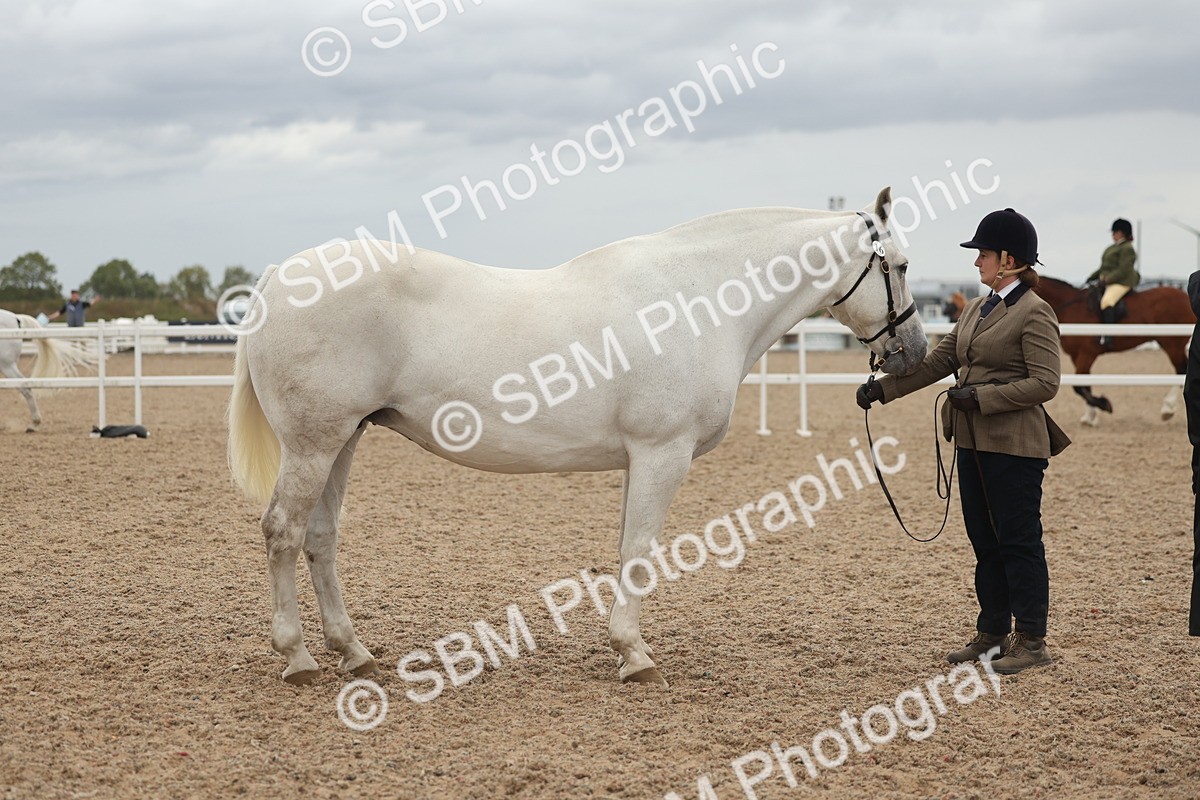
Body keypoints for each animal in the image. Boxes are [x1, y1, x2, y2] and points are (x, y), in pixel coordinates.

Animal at [227, 188, 928, 686]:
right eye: (899, 264)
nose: (914, 353)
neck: (696, 299)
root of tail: (280, 277)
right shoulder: (662, 453)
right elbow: (641, 552)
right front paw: (635, 655)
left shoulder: (639, 461)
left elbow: (624, 551)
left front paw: (623, 646)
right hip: (314, 445)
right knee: (282, 532)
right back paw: (297, 658)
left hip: (340, 441)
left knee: (320, 538)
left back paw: (354, 652)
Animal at [1032, 276, 1195, 426]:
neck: (1071, 307)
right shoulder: (1076, 355)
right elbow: (1085, 383)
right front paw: (1090, 417)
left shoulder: (1087, 354)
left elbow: (1078, 386)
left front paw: (1104, 404)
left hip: (1173, 344)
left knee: (1181, 370)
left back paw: (1168, 409)